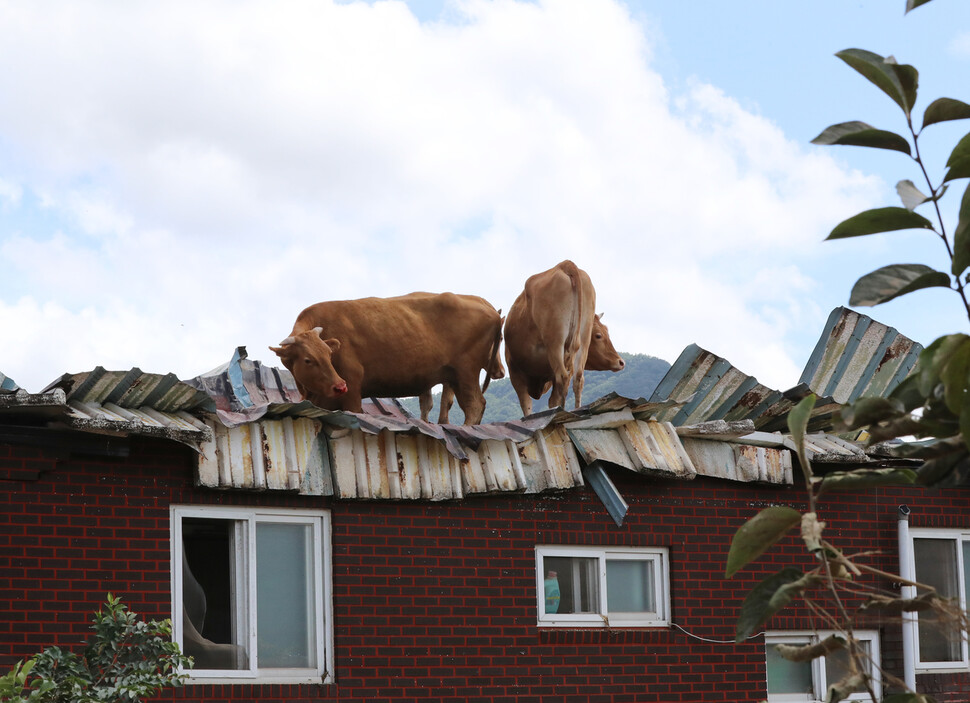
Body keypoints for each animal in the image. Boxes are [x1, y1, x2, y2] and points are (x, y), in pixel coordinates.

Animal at [268, 290, 502, 424]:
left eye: (329, 353)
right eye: (308, 360)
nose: (339, 386)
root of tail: (485, 304)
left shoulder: (353, 391)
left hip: (465, 372)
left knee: (475, 405)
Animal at [502, 262, 624, 418]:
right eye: (599, 335)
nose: (621, 362)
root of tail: (566, 264)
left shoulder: (514, 370)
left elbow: (527, 406)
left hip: (555, 344)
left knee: (562, 379)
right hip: (581, 342)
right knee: (578, 380)